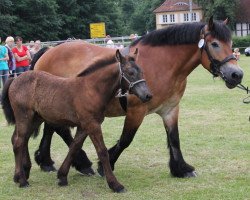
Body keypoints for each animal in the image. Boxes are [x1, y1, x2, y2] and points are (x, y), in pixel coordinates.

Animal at [1, 49, 152, 192]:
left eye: (142, 72)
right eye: (130, 73)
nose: (148, 95)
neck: (91, 89)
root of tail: (15, 79)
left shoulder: (84, 126)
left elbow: (74, 147)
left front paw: (62, 177)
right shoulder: (92, 124)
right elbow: (102, 151)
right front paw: (115, 185)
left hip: (35, 118)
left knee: (20, 139)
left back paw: (19, 175)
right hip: (24, 116)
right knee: (19, 142)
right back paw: (22, 180)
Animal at [31, 17, 242, 178]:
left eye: (231, 44)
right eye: (214, 44)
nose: (237, 75)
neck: (161, 64)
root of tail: (48, 51)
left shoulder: (170, 109)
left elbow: (174, 138)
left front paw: (181, 168)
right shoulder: (136, 111)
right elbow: (126, 139)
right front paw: (104, 165)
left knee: (51, 128)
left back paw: (47, 161)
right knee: (59, 130)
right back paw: (82, 163)